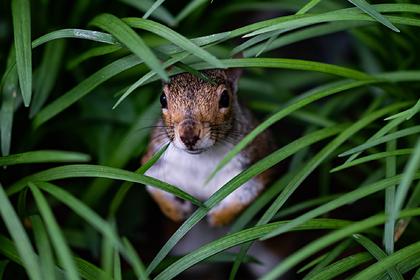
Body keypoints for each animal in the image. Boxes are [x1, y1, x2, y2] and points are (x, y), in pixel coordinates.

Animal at [143, 68, 278, 228]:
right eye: (162, 98)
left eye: (225, 98)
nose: (189, 136)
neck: (200, 159)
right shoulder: (155, 161)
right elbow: (154, 187)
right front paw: (175, 210)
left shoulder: (256, 159)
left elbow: (245, 195)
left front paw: (219, 216)